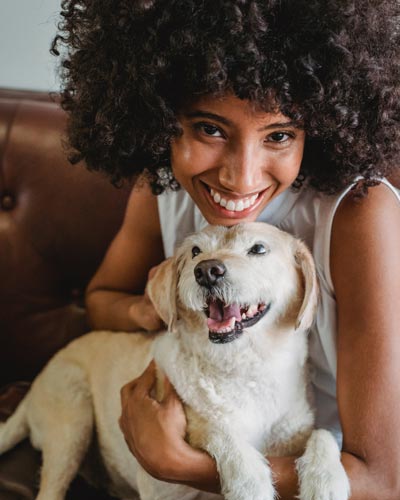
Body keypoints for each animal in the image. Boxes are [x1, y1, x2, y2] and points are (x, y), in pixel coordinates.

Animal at [0, 223, 348, 500]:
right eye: (195, 251)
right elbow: (219, 432)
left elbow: (324, 435)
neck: (244, 367)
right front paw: (249, 482)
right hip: (72, 419)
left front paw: (326, 480)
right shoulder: (164, 481)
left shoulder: (297, 431)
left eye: (258, 248)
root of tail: (30, 393)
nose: (207, 270)